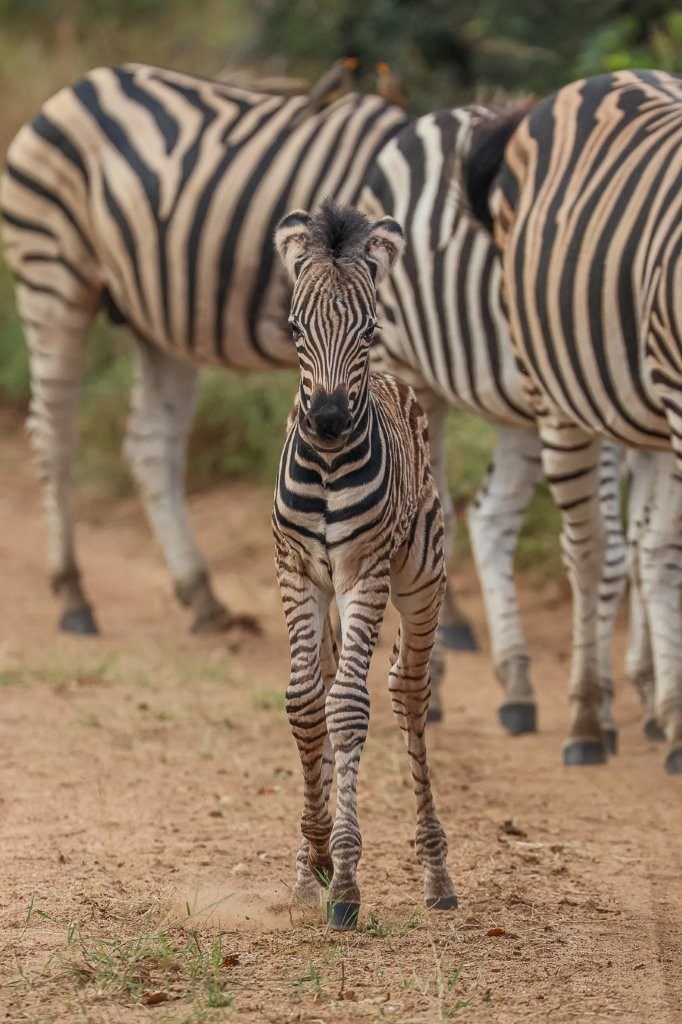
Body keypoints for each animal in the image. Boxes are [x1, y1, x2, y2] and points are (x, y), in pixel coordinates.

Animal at [272, 199, 457, 929]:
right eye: (295, 328)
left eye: (370, 328)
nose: (325, 421)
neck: (326, 465)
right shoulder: (296, 572)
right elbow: (306, 704)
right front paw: (316, 858)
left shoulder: (366, 571)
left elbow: (349, 708)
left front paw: (345, 880)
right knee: (325, 683)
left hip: (421, 580)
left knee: (408, 691)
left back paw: (437, 875)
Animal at [359, 104, 631, 747]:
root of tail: (432, 118)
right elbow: (617, 550)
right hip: (409, 369)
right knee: (434, 517)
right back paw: (432, 685)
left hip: (523, 415)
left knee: (491, 517)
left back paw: (518, 689)